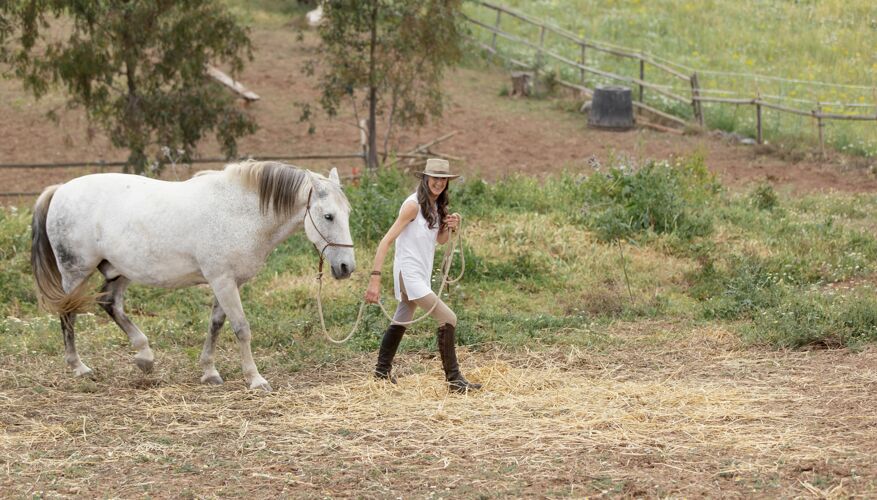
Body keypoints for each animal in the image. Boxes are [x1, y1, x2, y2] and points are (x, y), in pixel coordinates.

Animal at [31, 160, 352, 390]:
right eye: (328, 216)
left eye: (347, 213)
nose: (346, 267)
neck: (239, 212)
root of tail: (59, 190)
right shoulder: (222, 280)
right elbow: (241, 328)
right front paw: (255, 379)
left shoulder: (227, 282)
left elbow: (216, 324)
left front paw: (209, 372)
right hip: (75, 272)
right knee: (69, 314)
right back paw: (79, 367)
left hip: (118, 270)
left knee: (110, 304)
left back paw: (145, 357)